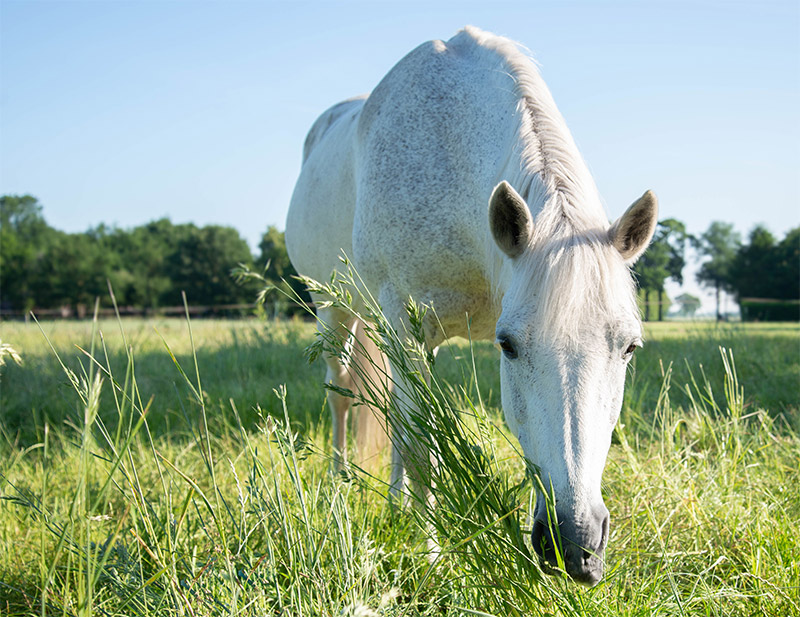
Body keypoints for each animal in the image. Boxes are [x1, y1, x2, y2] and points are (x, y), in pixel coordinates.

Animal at [285, 26, 657, 586]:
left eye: (630, 347)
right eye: (509, 346)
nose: (576, 546)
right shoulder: (407, 328)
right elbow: (423, 449)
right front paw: (433, 558)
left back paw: (394, 506)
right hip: (334, 309)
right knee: (342, 394)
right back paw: (337, 486)